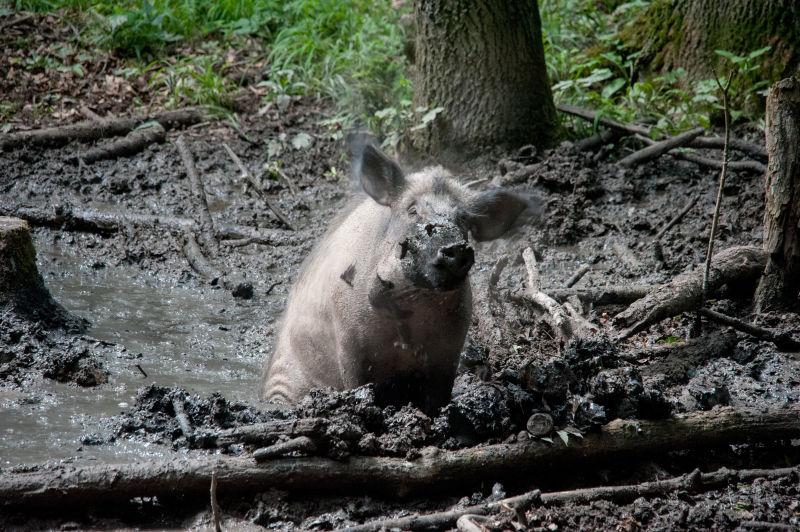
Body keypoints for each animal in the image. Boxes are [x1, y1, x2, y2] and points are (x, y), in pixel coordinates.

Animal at [262, 141, 536, 412]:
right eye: (412, 210)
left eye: (462, 218)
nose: (455, 247)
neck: (410, 310)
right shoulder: (348, 341)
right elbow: (356, 383)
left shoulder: (449, 350)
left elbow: (438, 397)